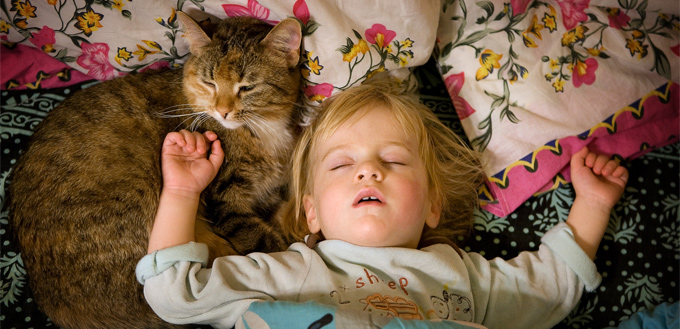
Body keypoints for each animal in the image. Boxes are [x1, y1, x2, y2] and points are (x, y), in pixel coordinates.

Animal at [7, 12, 302, 328]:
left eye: (247, 87)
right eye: (209, 82)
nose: (222, 111)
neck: (262, 130)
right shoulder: (227, 202)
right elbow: (266, 242)